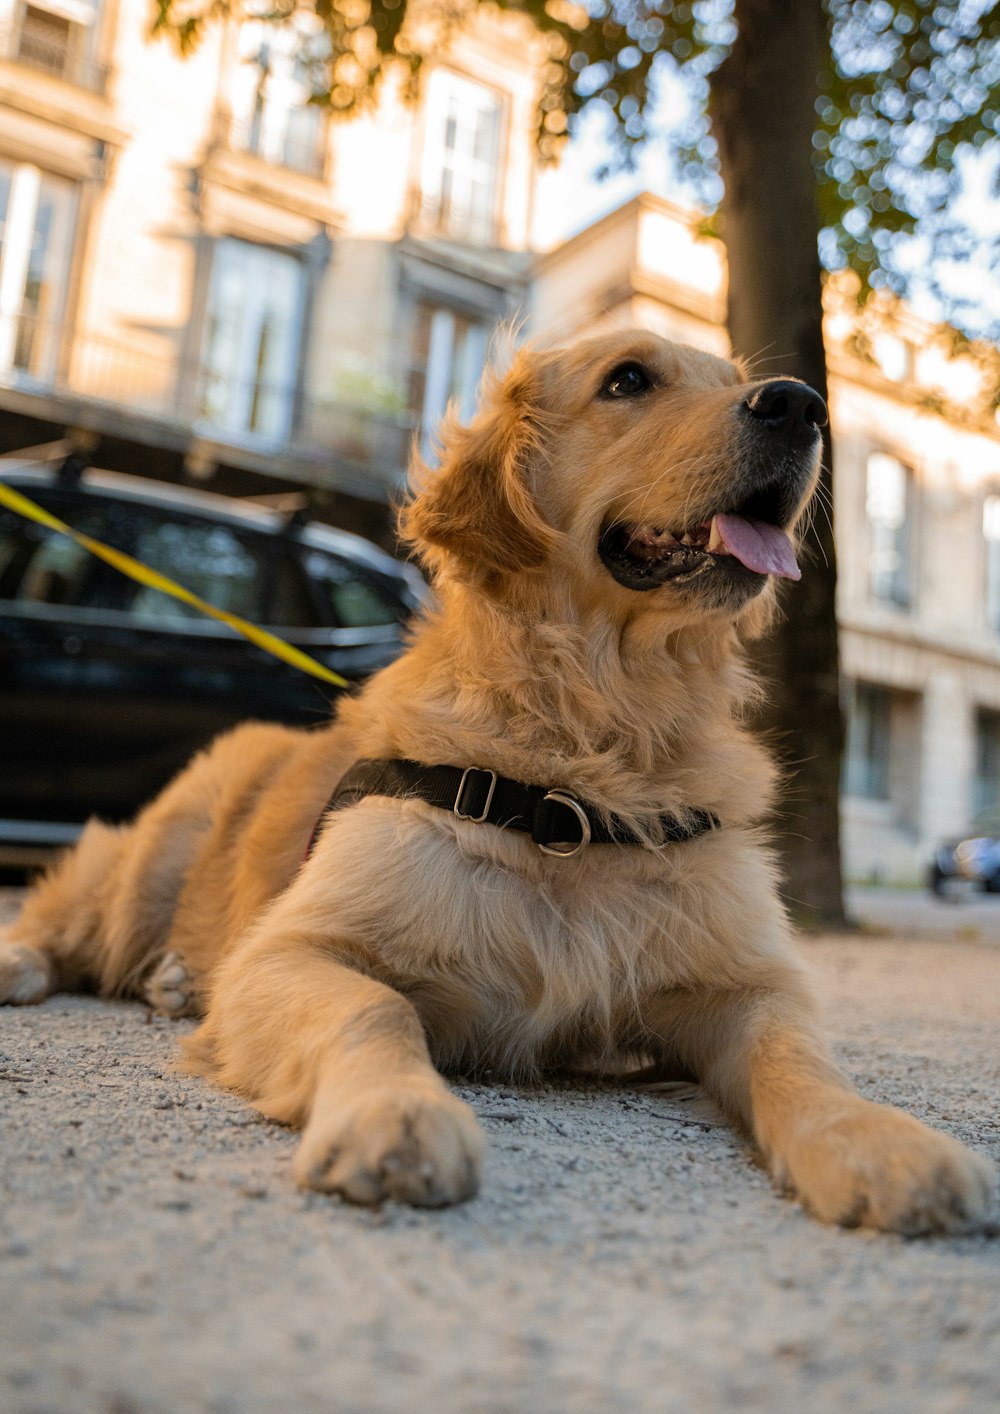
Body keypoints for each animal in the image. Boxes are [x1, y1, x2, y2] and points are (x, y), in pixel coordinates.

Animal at [0, 328, 995, 1227]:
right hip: (145, 868)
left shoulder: (744, 983)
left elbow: (801, 1058)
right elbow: (376, 1010)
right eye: (627, 380)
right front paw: (396, 1114)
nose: (802, 404)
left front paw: (873, 1138)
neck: (589, 759)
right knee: (64, 914)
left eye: (735, 379)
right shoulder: (294, 949)